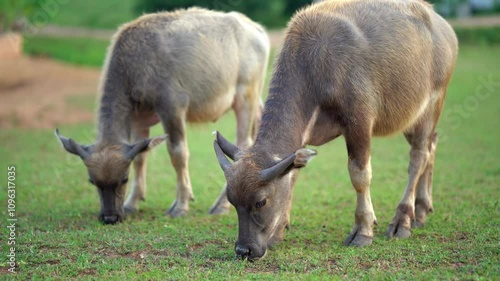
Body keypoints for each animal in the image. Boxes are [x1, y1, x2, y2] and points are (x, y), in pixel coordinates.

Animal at [213, 0, 458, 260]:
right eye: (232, 200)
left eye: (261, 202)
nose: (244, 249)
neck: (316, 66)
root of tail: (442, 26)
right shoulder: (301, 138)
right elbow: (293, 174)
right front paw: (278, 231)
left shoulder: (359, 123)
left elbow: (360, 175)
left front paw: (363, 231)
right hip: (409, 115)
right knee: (432, 144)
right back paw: (420, 211)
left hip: (432, 105)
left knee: (418, 156)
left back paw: (403, 220)